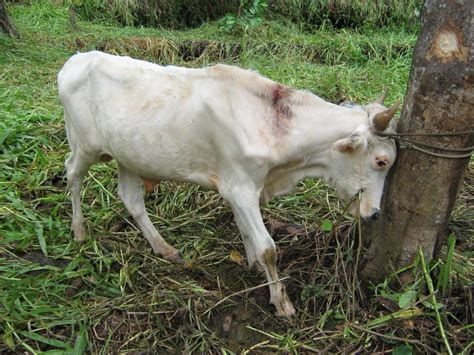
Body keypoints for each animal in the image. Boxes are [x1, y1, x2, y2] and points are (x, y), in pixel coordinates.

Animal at [59, 51, 400, 318]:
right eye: (381, 161)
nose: (374, 214)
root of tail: (78, 59)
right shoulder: (241, 188)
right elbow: (268, 247)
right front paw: (281, 301)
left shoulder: (240, 190)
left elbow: (246, 231)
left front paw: (252, 265)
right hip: (84, 145)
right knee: (72, 174)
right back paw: (78, 229)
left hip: (129, 155)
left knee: (131, 199)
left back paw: (164, 248)